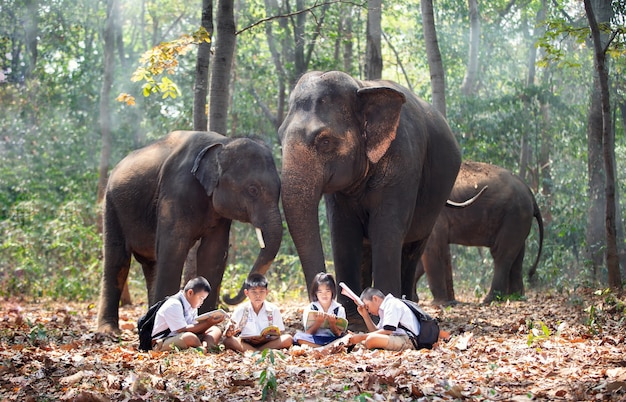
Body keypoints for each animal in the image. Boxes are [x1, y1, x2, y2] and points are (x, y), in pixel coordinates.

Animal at [96, 131, 282, 332]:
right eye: (253, 189)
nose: (226, 296)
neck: (223, 143)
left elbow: (213, 254)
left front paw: (210, 322)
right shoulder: (175, 191)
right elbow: (174, 248)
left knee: (150, 263)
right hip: (111, 203)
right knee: (117, 259)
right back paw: (108, 331)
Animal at [278, 70, 464, 312]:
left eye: (325, 141)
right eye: (280, 138)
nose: (324, 281)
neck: (361, 87)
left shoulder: (403, 163)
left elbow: (385, 229)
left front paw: (383, 305)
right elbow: (343, 231)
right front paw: (350, 311)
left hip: (435, 202)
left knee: (414, 247)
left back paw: (409, 300)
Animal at [416, 162, 544, 304]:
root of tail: (531, 194)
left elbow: (431, 248)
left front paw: (439, 304)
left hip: (514, 215)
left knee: (501, 254)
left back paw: (490, 299)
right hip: (518, 219)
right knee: (517, 256)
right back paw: (516, 297)